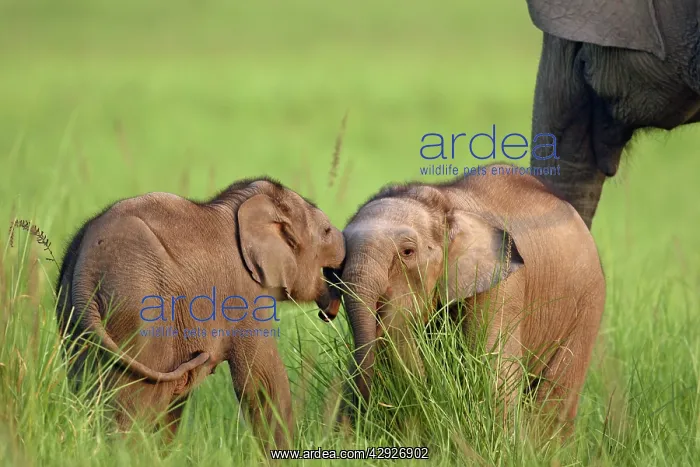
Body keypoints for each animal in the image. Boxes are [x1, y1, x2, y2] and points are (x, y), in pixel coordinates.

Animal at [55, 177, 345, 450]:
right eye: (326, 231)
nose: (328, 313)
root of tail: (86, 267)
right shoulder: (244, 296)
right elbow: (262, 380)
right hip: (141, 311)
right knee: (136, 402)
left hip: (74, 316)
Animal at [319, 163, 606, 435]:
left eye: (408, 252)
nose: (326, 312)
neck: (443, 205)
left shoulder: (503, 287)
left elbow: (495, 370)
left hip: (588, 301)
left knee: (555, 394)